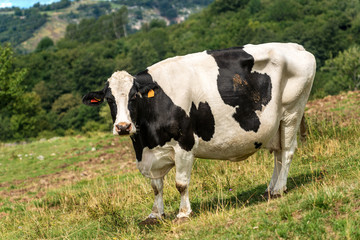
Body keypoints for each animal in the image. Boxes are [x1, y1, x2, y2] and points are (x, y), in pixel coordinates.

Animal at [81, 42, 316, 225]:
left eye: (134, 97)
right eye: (109, 99)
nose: (123, 126)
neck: (146, 140)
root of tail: (296, 47)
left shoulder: (184, 144)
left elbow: (180, 183)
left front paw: (183, 213)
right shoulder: (149, 154)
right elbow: (156, 187)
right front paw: (155, 215)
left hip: (292, 112)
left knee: (287, 151)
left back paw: (279, 189)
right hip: (274, 124)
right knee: (277, 154)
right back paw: (270, 189)